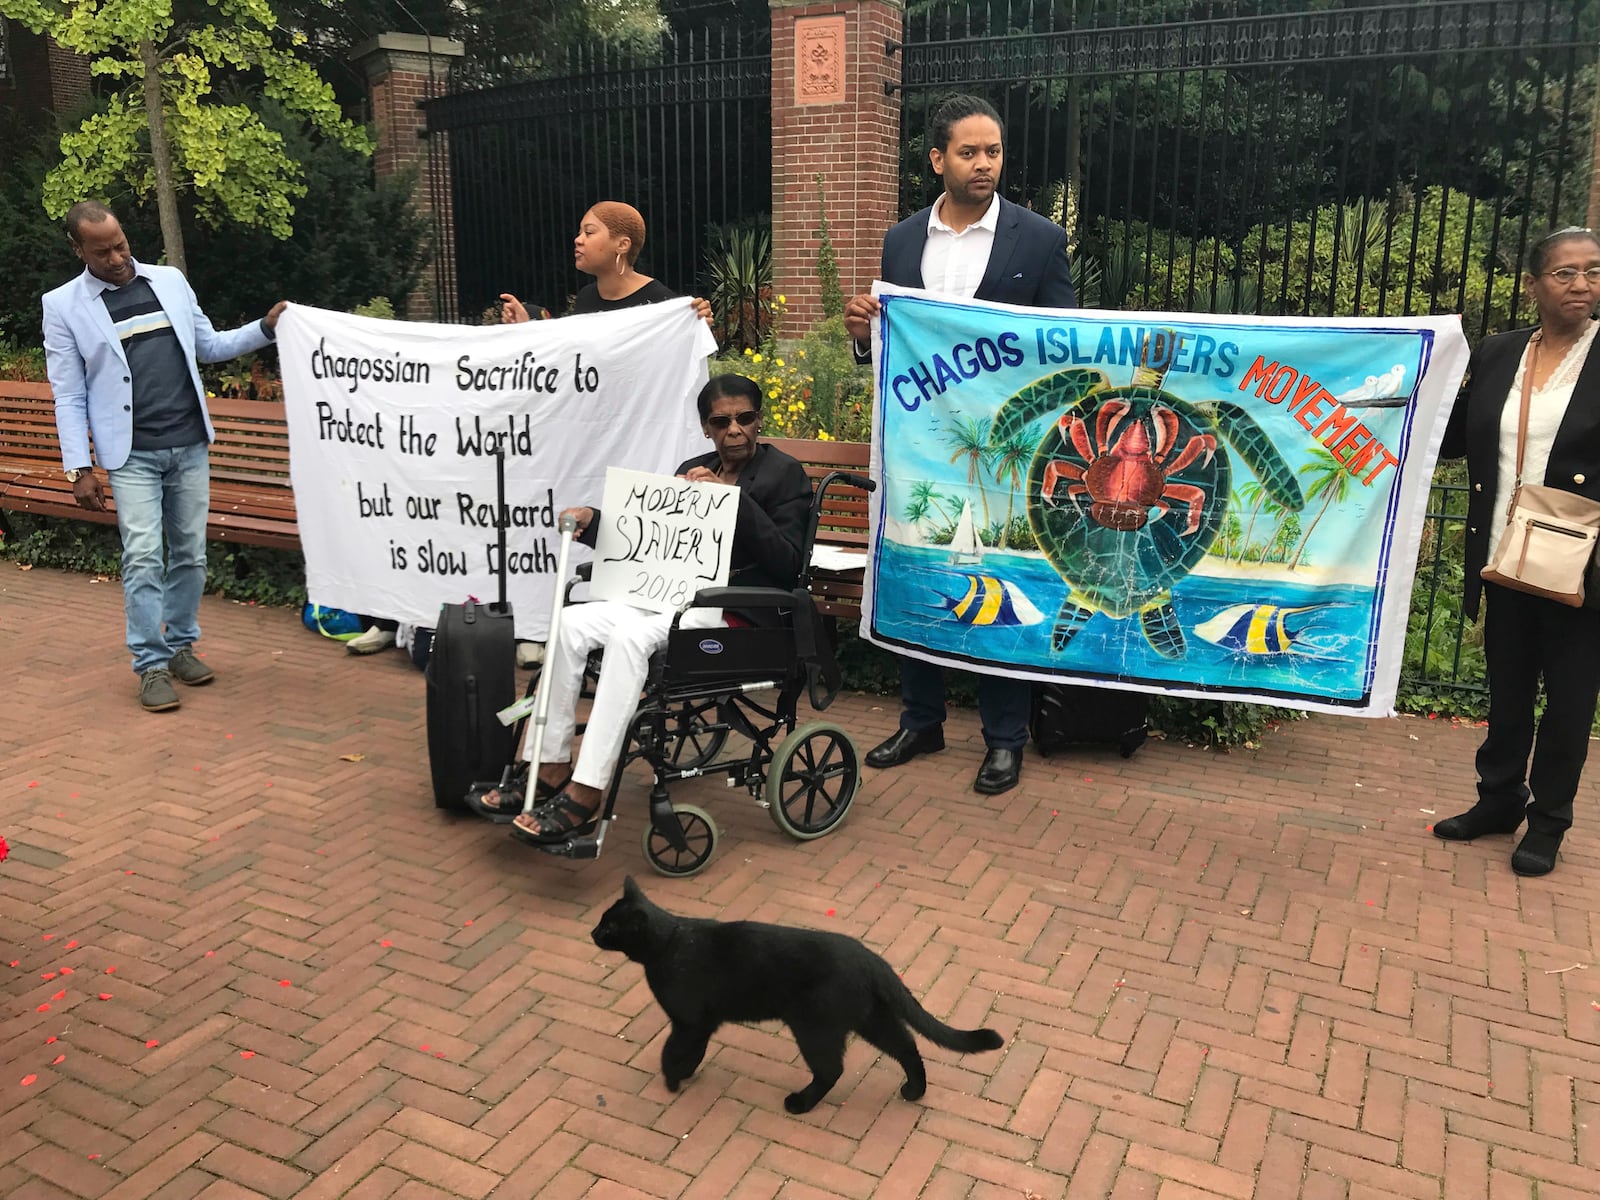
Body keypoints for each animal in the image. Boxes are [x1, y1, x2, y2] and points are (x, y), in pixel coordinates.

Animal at [592, 876, 998, 1120]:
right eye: (601, 920)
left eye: (610, 927)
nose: (593, 932)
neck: (670, 943)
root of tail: (869, 957)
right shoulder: (703, 1023)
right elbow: (691, 1051)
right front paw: (684, 1073)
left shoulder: (688, 1021)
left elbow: (671, 1050)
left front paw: (672, 1079)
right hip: (869, 1018)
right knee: (907, 1045)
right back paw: (914, 1090)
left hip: (814, 1026)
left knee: (832, 1069)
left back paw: (799, 1103)